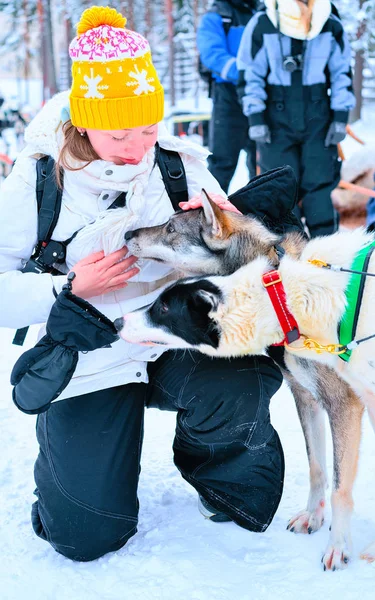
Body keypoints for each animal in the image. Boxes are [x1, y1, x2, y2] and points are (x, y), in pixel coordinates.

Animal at [122, 195, 374, 568]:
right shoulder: (305, 396)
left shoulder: (344, 405)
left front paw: (338, 545)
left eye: (170, 228)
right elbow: (317, 467)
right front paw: (314, 517)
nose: (128, 234)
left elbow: (341, 486)